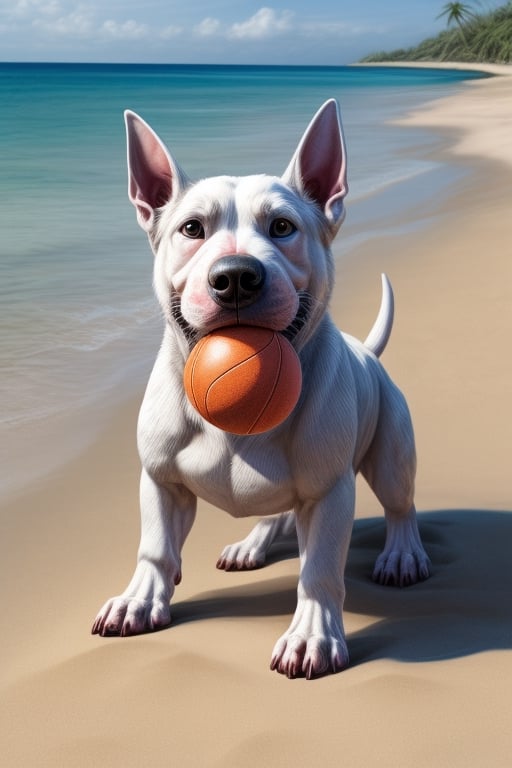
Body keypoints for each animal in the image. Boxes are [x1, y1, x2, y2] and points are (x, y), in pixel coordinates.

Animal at [93, 100, 432, 680]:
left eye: (282, 226)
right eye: (191, 228)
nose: (235, 276)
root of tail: (366, 352)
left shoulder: (329, 494)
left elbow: (320, 569)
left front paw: (312, 634)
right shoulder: (160, 479)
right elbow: (155, 545)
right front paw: (140, 599)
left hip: (391, 451)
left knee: (399, 505)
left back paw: (402, 554)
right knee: (276, 509)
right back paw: (251, 545)